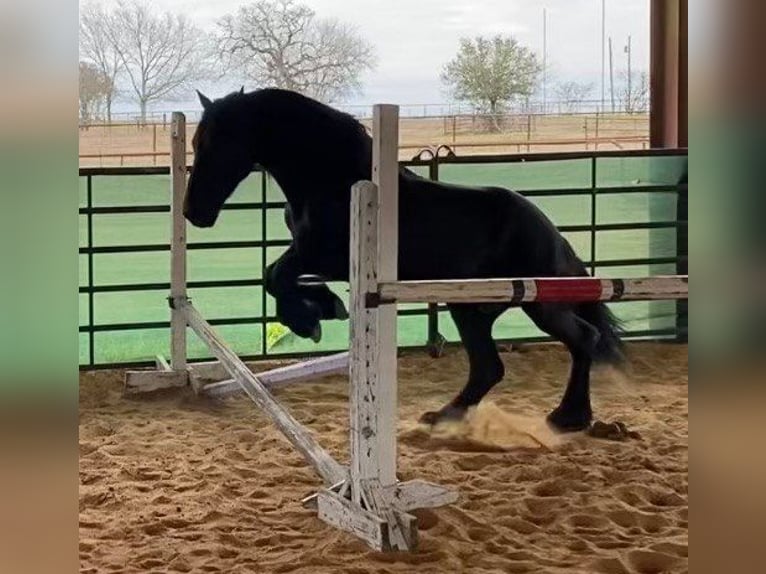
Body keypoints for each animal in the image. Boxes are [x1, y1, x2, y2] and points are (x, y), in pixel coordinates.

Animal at [184, 89, 624, 432]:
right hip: (473, 307)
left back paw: (568, 417)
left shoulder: (322, 255)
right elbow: (274, 275)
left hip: (538, 301)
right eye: (195, 143)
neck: (332, 177)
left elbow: (275, 275)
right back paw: (445, 417)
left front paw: (312, 318)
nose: (193, 212)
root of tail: (552, 233)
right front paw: (321, 309)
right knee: (489, 367)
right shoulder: (316, 257)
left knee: (583, 338)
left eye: (217, 143)